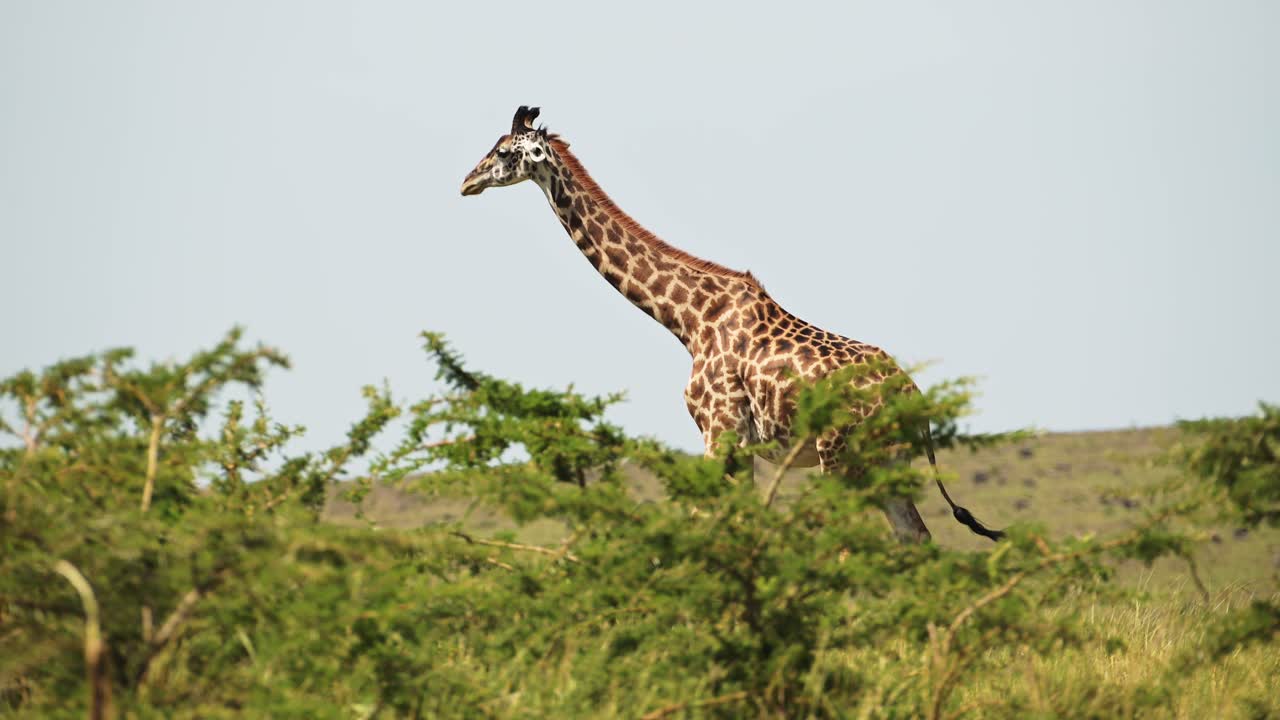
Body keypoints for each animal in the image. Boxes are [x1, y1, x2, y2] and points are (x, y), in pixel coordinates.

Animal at [460, 106, 1002, 544]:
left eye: (503, 151)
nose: (466, 181)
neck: (689, 319)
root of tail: (915, 398)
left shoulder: (719, 432)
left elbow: (708, 522)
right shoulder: (743, 445)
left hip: (839, 453)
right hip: (884, 462)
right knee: (914, 536)